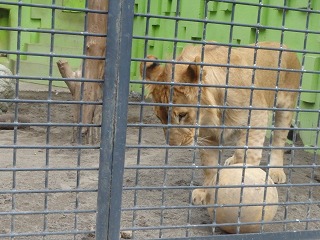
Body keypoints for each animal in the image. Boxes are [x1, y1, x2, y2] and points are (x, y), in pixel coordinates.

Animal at [139, 42, 300, 203]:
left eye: (182, 115)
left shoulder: (257, 117)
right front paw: (206, 193)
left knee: (278, 140)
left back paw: (276, 171)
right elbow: (209, 165)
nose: (174, 145)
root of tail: (281, 44)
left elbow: (246, 154)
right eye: (159, 118)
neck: (214, 112)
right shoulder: (208, 134)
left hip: (286, 107)